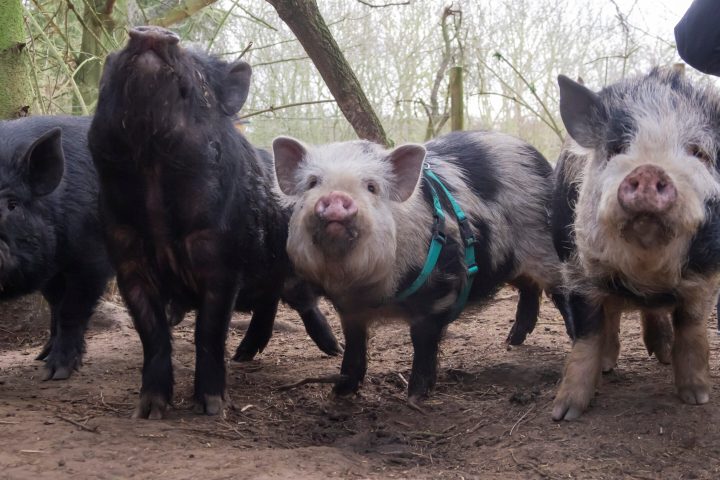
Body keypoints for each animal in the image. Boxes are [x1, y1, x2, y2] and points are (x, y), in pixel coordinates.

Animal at [0, 115, 113, 380]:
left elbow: (70, 310)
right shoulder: (51, 269)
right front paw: (42, 357)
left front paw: (54, 373)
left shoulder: (92, 259)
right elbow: (55, 305)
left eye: (12, 204)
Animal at [88, 26, 339, 419]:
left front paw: (212, 408)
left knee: (301, 300)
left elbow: (209, 331)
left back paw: (333, 351)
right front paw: (148, 412)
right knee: (268, 303)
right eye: (112, 60)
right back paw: (243, 356)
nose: (152, 32)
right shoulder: (126, 255)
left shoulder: (222, 258)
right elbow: (152, 334)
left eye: (198, 72)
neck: (153, 173)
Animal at [273, 130, 568, 404]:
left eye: (372, 187)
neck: (369, 291)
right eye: (313, 183)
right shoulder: (348, 309)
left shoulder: (439, 290)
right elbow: (354, 344)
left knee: (560, 291)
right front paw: (339, 392)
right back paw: (512, 340)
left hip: (547, 249)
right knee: (529, 286)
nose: (335, 197)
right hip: (511, 263)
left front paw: (415, 396)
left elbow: (422, 340)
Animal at [550, 68, 720, 421]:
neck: (647, 268)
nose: (649, 170)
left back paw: (663, 354)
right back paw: (608, 364)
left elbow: (692, 326)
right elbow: (587, 334)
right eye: (616, 148)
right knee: (611, 315)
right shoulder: (576, 271)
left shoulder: (708, 275)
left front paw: (697, 397)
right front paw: (565, 413)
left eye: (698, 152)